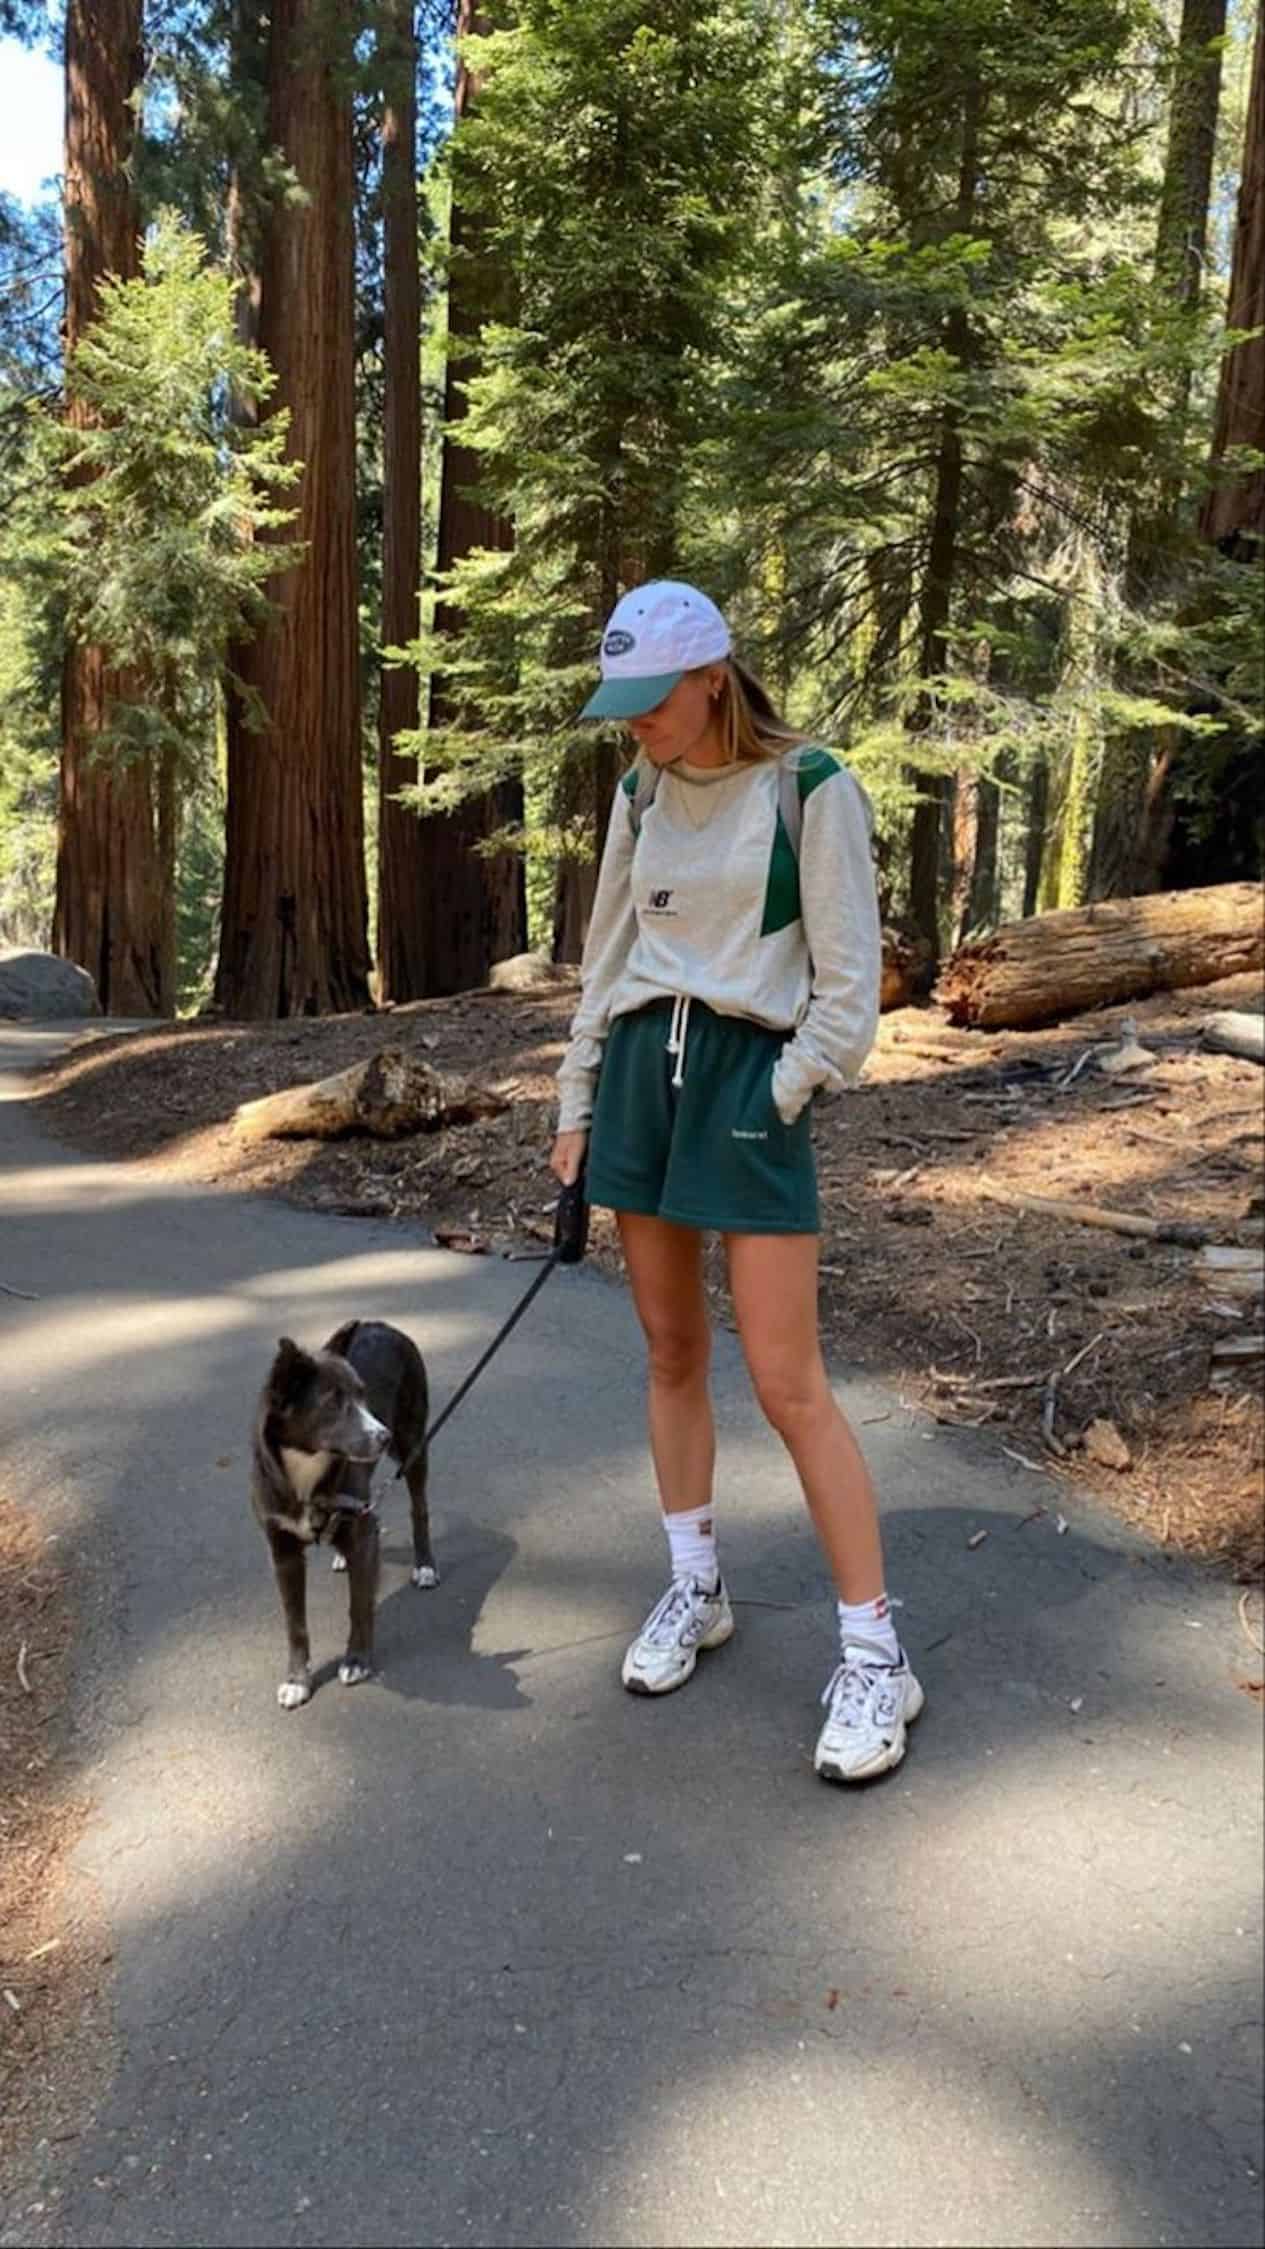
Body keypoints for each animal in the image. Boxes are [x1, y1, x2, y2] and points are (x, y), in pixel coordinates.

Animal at [250, 1313, 432, 1700]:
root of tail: (382, 1324)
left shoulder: (363, 1532)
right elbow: (295, 1624)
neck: (307, 1470)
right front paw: (297, 1681)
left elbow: (359, 1605)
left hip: (413, 1444)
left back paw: (425, 1566)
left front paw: (357, 1661)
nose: (383, 1436)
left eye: (363, 1395)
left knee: (419, 1508)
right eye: (333, 1404)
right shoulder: (283, 1552)